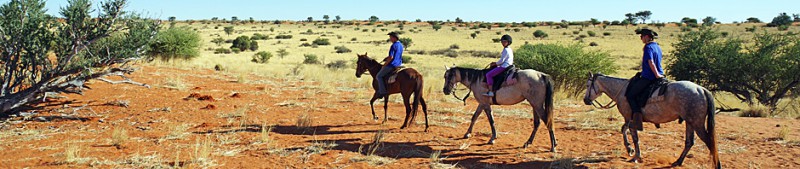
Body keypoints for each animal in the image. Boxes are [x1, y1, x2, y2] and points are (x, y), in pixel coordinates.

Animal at [580, 72, 720, 168]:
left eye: (587, 85)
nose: (585, 100)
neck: (623, 91)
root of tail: (701, 89)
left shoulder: (630, 117)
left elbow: (632, 135)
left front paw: (634, 154)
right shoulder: (629, 119)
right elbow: (624, 130)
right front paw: (630, 150)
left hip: (697, 123)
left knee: (709, 142)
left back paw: (717, 164)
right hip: (690, 122)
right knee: (689, 142)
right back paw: (678, 162)